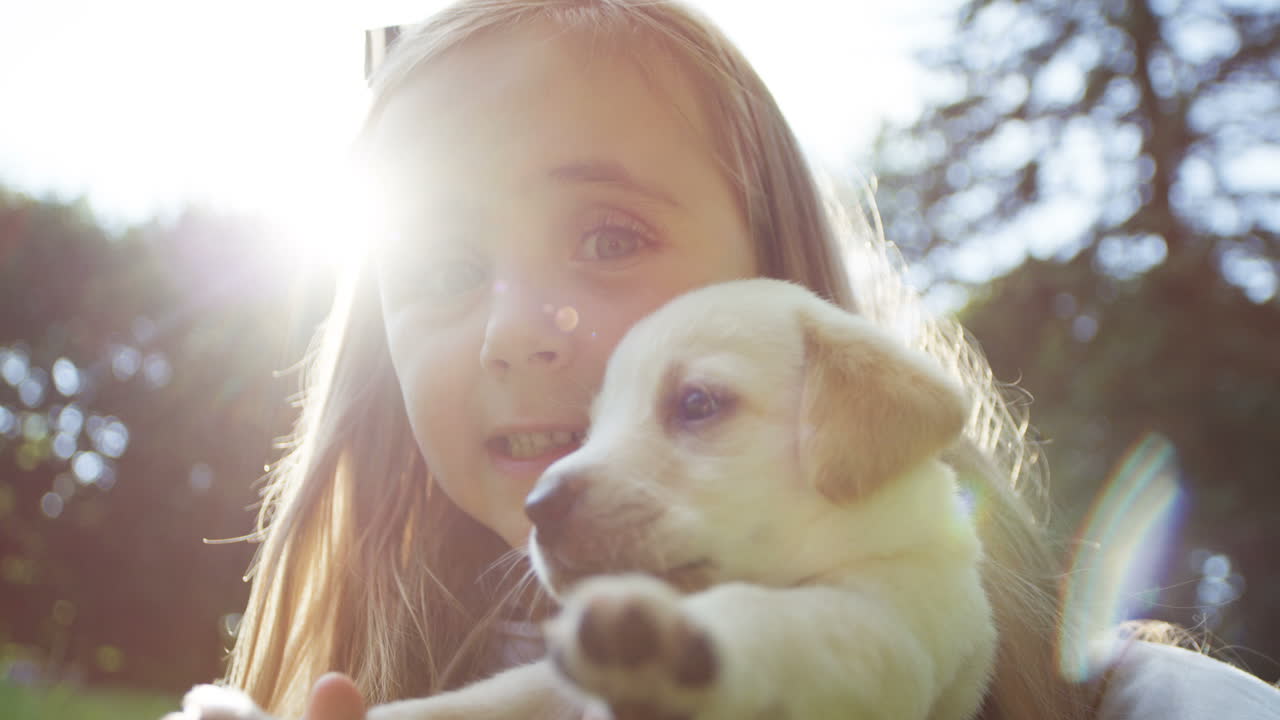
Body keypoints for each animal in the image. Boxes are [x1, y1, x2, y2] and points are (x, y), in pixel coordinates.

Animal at [177, 279, 998, 717]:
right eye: (589, 426)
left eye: (697, 404)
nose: (537, 510)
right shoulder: (533, 683)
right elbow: (451, 704)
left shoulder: (887, 625)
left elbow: (782, 623)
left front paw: (667, 651)